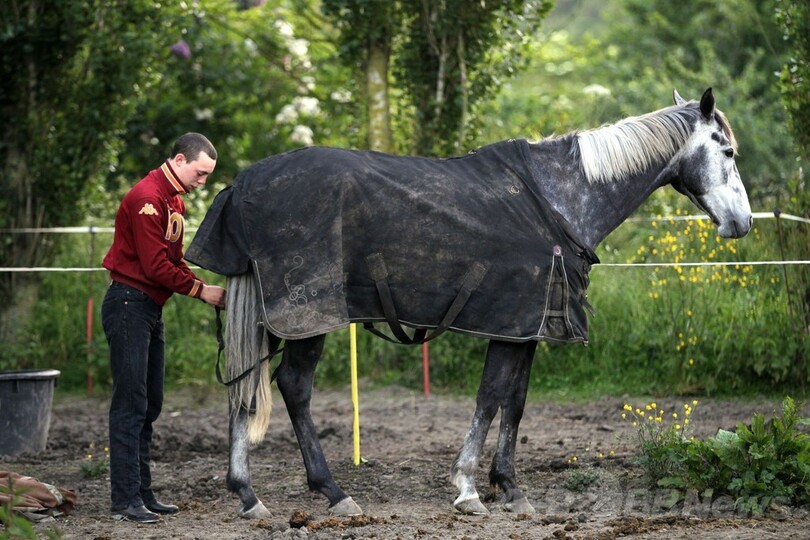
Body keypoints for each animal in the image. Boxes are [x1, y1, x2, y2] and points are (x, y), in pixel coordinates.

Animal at [184, 88, 752, 518]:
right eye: (727, 151)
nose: (743, 223)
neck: (559, 200)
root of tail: (244, 183)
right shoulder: (509, 323)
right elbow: (489, 397)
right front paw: (468, 489)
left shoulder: (526, 328)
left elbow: (514, 402)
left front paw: (511, 487)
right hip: (309, 316)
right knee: (294, 388)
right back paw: (332, 492)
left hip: (276, 317)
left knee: (244, 389)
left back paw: (248, 494)